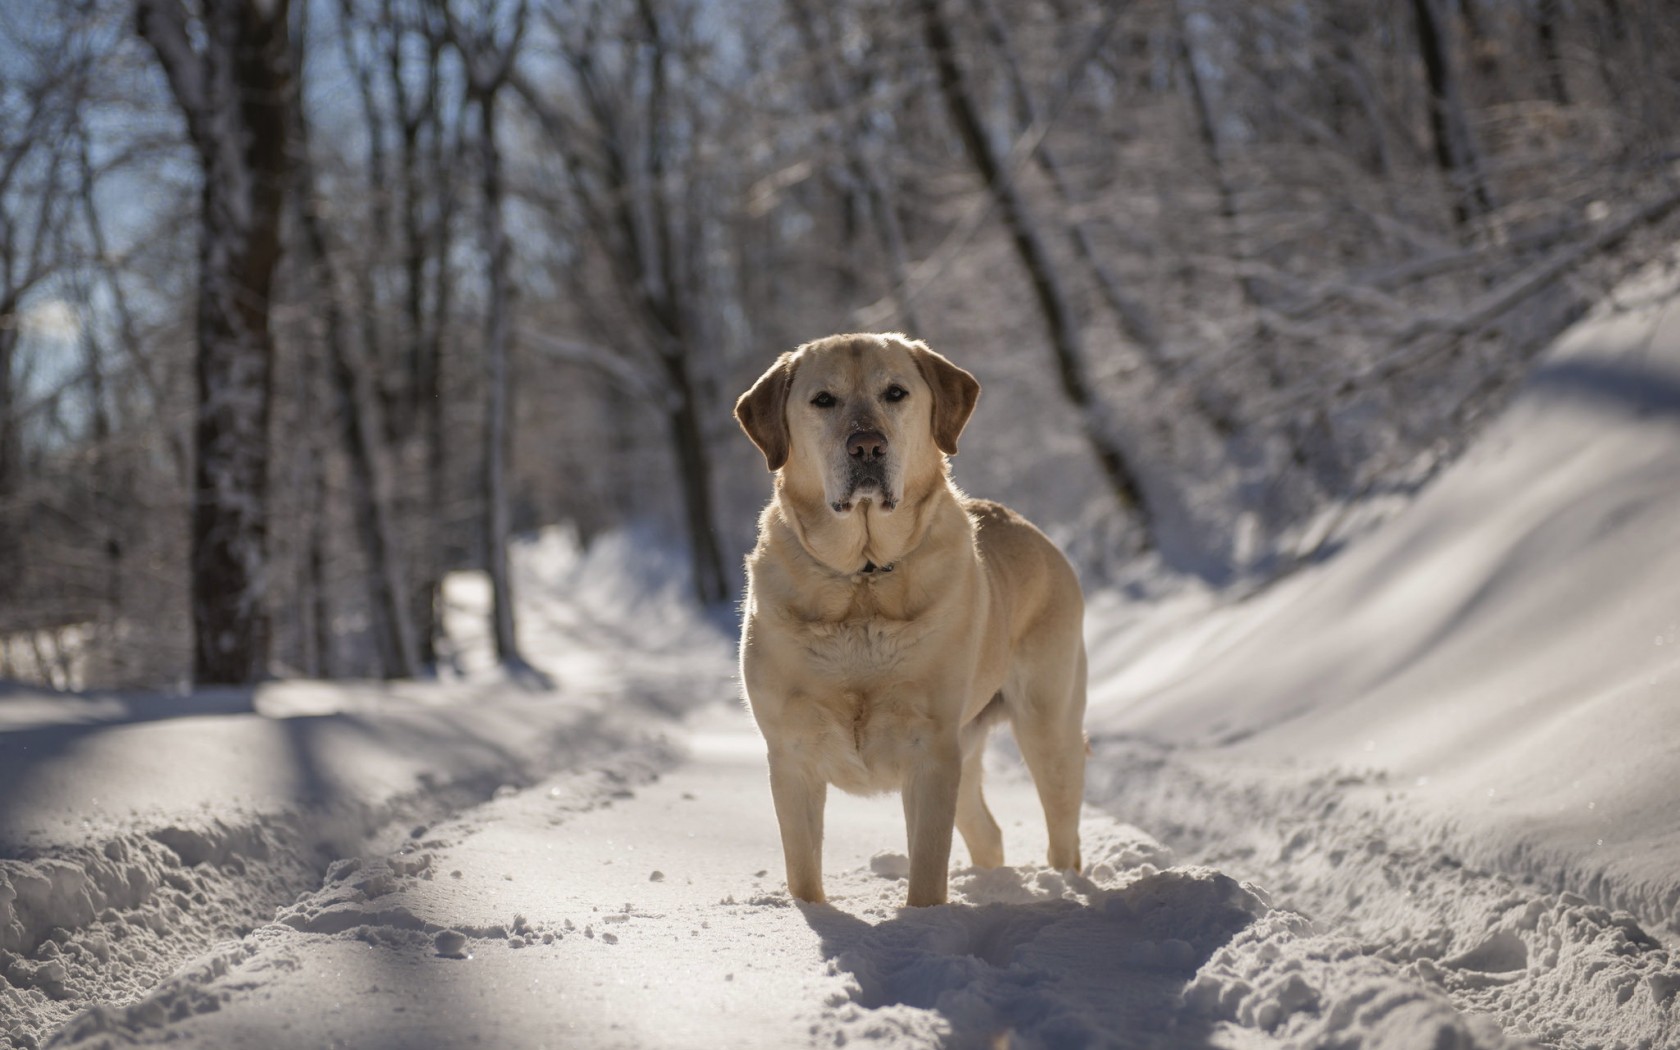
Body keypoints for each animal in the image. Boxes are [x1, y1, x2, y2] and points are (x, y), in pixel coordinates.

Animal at [735, 330, 1088, 907]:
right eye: (823, 400)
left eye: (895, 393)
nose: (867, 446)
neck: (862, 579)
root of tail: (1030, 527)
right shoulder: (790, 752)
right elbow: (803, 871)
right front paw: (811, 916)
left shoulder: (931, 751)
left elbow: (926, 867)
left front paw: (924, 918)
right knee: (989, 832)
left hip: (1047, 724)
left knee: (1063, 828)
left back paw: (1064, 887)